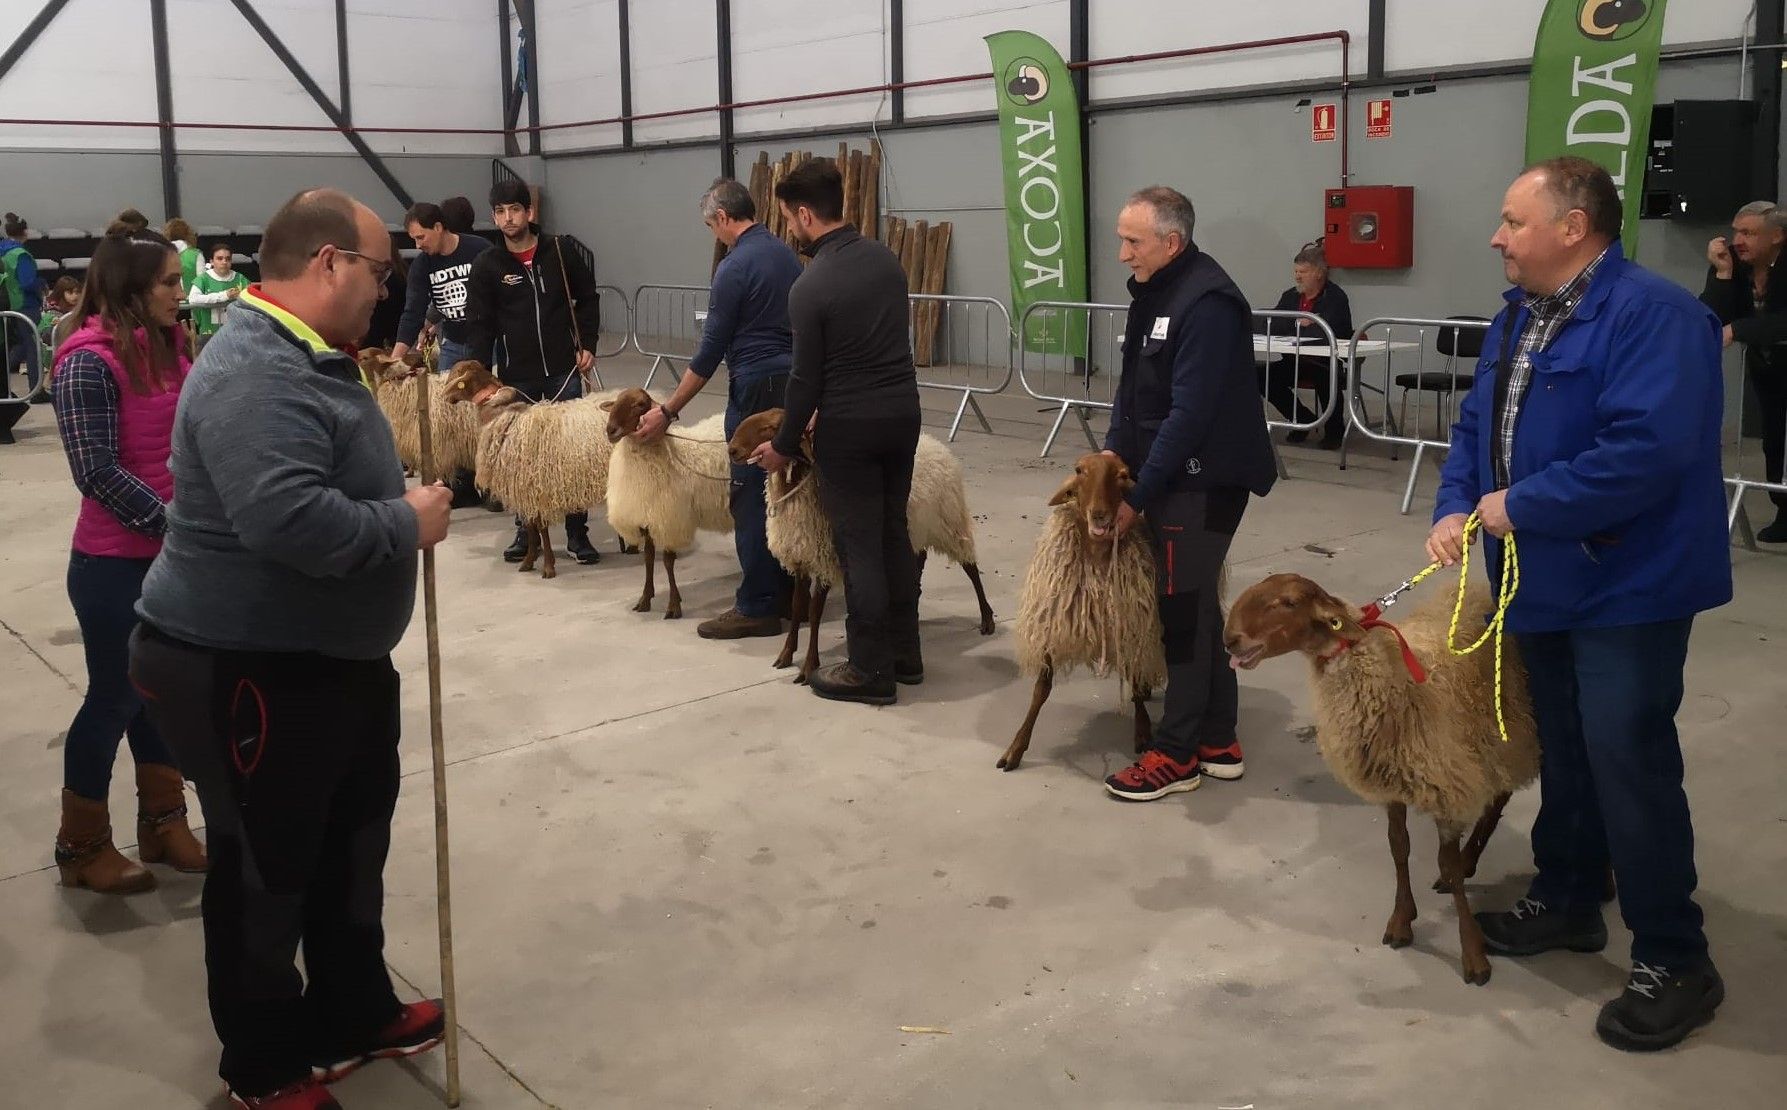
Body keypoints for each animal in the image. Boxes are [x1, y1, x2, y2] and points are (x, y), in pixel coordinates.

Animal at [439, 361, 621, 579]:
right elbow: (531, 528)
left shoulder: (536, 487)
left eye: (456, 375)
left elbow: (541, 528)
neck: (503, 417)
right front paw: (528, 561)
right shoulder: (526, 490)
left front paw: (548, 567)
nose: (444, 396)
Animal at [604, 386, 729, 618]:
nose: (610, 430)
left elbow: (668, 562)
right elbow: (648, 558)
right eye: (616, 402)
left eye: (640, 404)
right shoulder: (646, 517)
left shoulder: (670, 518)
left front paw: (673, 605)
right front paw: (645, 599)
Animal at [729, 409, 1007, 675]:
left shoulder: (826, 558)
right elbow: (799, 607)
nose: (732, 449)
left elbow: (815, 612)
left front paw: (809, 666)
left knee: (970, 567)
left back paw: (987, 619)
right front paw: (786, 655)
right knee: (918, 561)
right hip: (917, 527)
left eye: (771, 427)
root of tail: (937, 445)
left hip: (949, 522)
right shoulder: (803, 557)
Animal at [1000, 450, 1165, 772]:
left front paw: (1142, 730)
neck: (1098, 555)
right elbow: (1041, 689)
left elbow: (1134, 679)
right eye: (1079, 470)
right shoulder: (1054, 622)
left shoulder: (1134, 626)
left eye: (1122, 475)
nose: (1099, 515)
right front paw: (1016, 747)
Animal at [1222, 575, 1543, 979]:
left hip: (1513, 731)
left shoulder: (1446, 787)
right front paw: (1402, 920)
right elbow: (1398, 847)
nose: (1229, 640)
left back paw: (1472, 858)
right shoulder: (1392, 787)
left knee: (1501, 794)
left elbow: (1448, 866)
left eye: (1288, 602)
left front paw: (1473, 954)